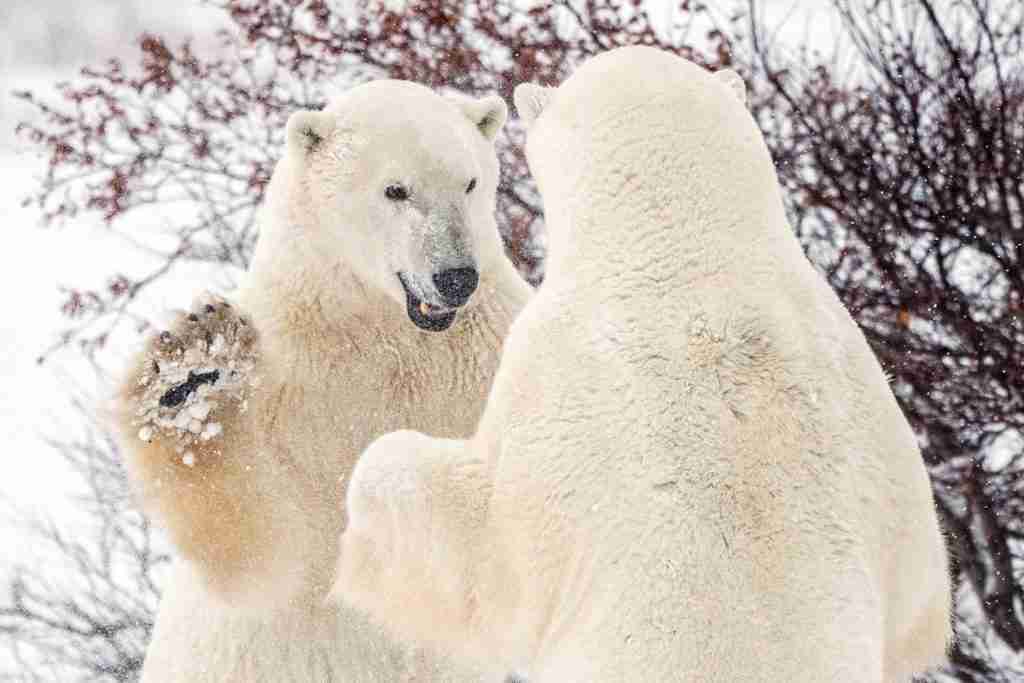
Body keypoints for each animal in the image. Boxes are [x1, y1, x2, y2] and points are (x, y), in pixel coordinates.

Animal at [114, 79, 532, 682]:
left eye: (470, 182)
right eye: (395, 189)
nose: (455, 277)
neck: (388, 332)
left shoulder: (493, 351)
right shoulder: (287, 381)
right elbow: (259, 551)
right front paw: (189, 378)